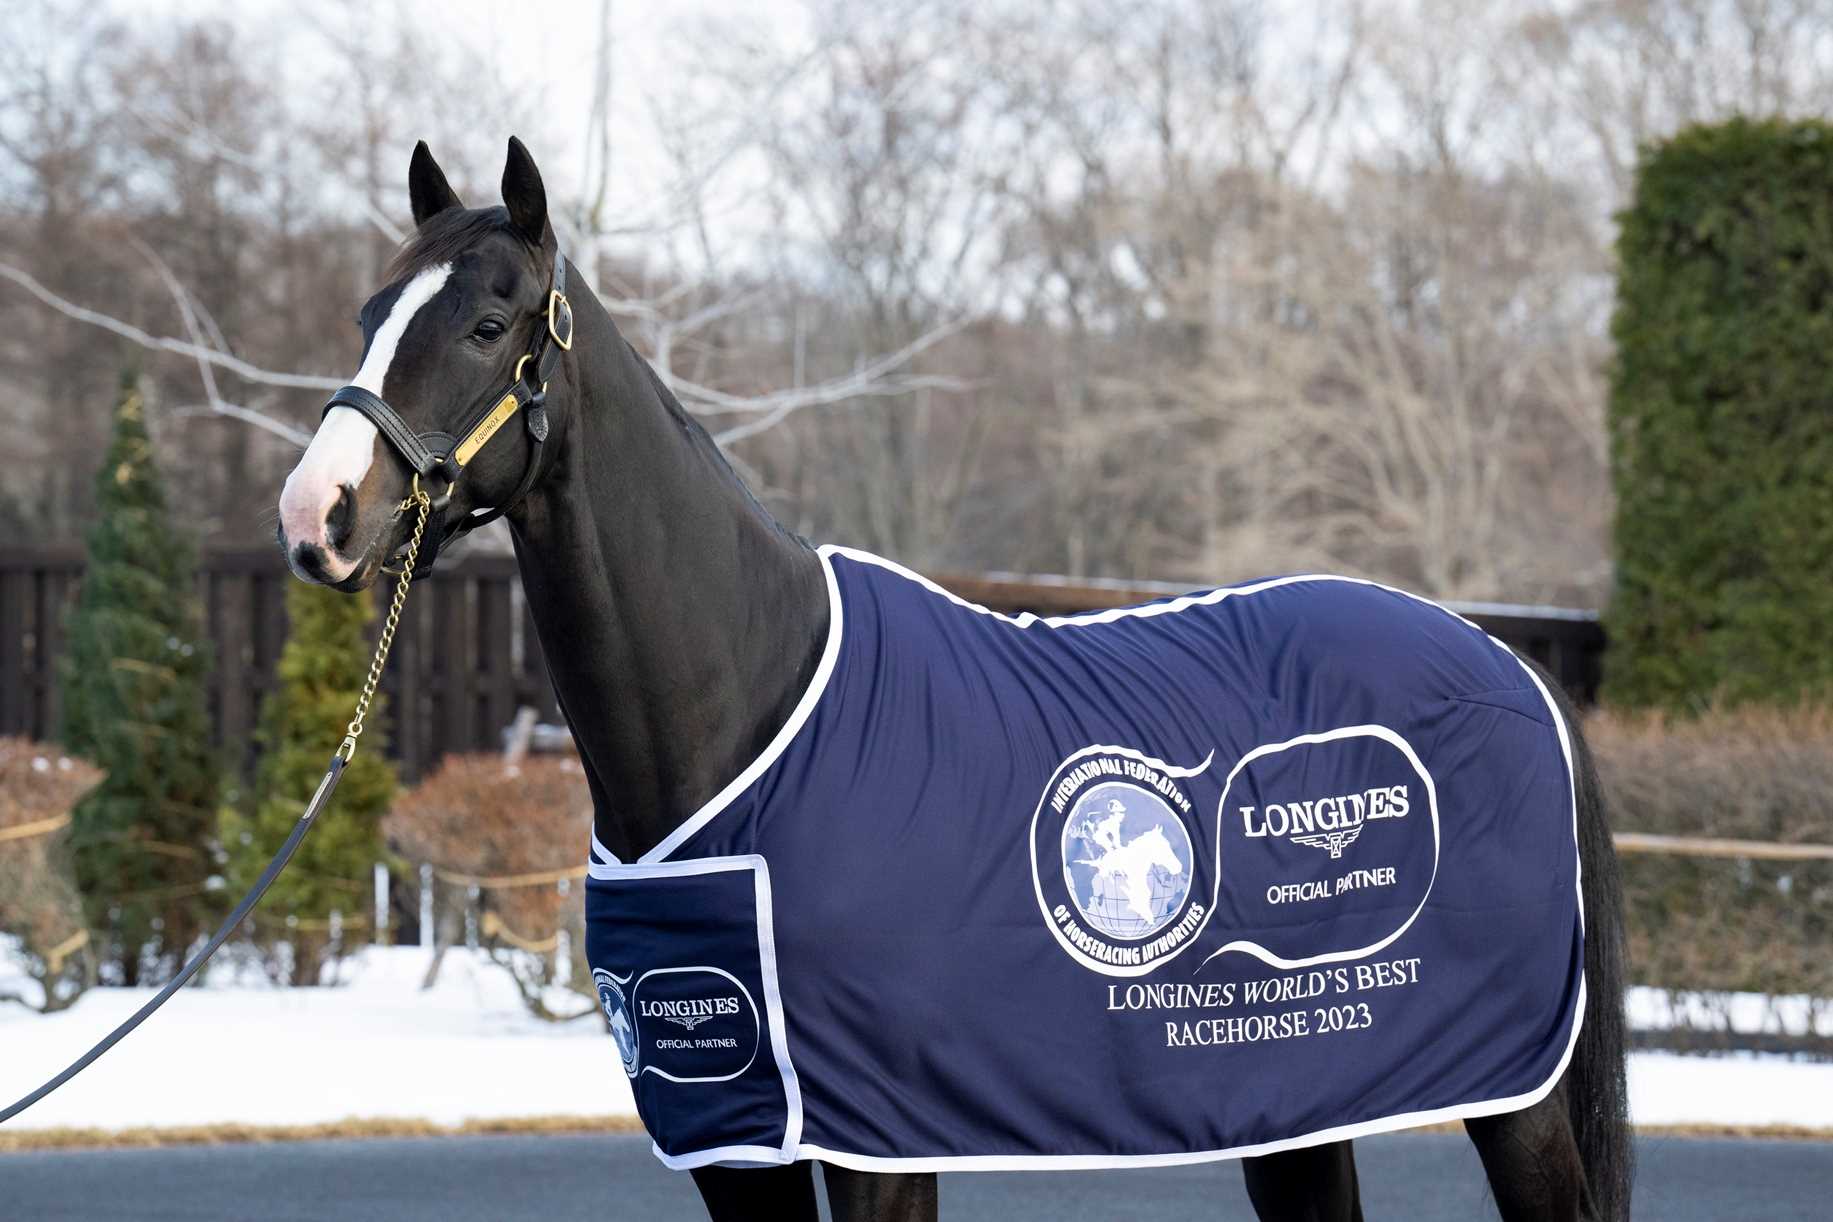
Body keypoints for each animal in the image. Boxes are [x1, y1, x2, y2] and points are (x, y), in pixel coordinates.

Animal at [276, 137, 1631, 1222]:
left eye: (488, 325)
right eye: (366, 313)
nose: (316, 513)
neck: (749, 712)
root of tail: (1509, 665)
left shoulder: (875, 1141)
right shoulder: (733, 1140)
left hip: (1513, 1097)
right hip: (1296, 1098)